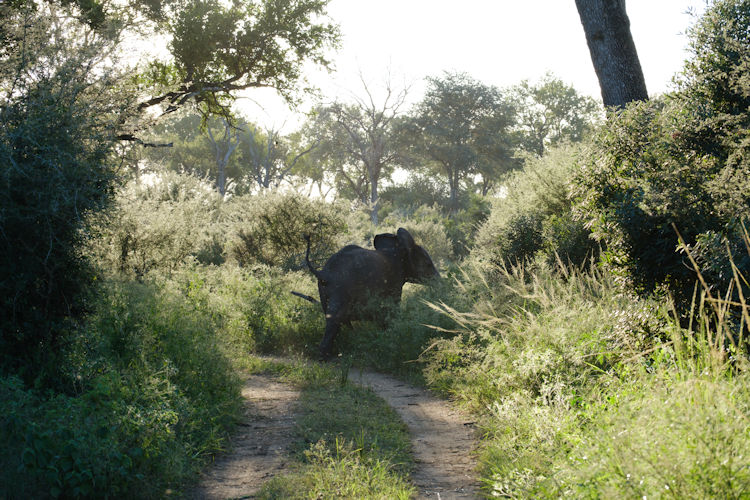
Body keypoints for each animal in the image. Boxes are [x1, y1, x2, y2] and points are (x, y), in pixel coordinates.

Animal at [301, 228, 440, 360]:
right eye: (428, 264)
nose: (439, 282)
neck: (399, 249)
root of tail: (324, 273)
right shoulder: (394, 281)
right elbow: (393, 309)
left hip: (324, 291)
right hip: (340, 289)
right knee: (334, 319)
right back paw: (325, 357)